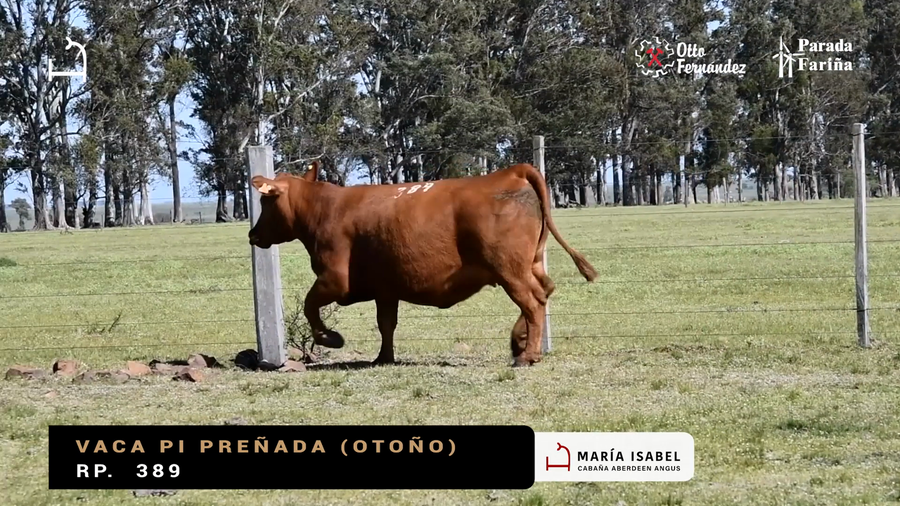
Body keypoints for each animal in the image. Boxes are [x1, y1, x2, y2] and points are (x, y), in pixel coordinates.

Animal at [247, 161, 598, 367]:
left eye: (266, 201)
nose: (253, 234)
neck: (324, 208)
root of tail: (510, 171)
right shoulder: (385, 289)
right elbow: (386, 324)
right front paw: (383, 358)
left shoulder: (334, 279)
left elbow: (310, 306)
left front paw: (330, 339)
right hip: (530, 264)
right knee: (544, 292)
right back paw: (518, 341)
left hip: (510, 271)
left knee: (533, 302)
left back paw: (527, 355)